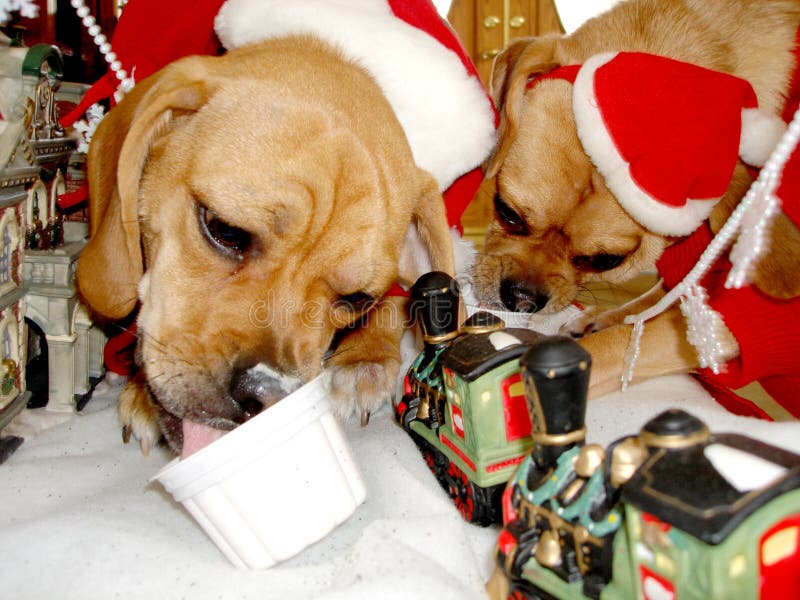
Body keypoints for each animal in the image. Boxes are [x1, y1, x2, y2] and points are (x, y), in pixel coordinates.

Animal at [472, 0, 800, 400]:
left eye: (605, 261)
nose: (522, 299)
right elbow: (663, 296)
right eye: (507, 212)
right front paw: (607, 316)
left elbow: (622, 342)